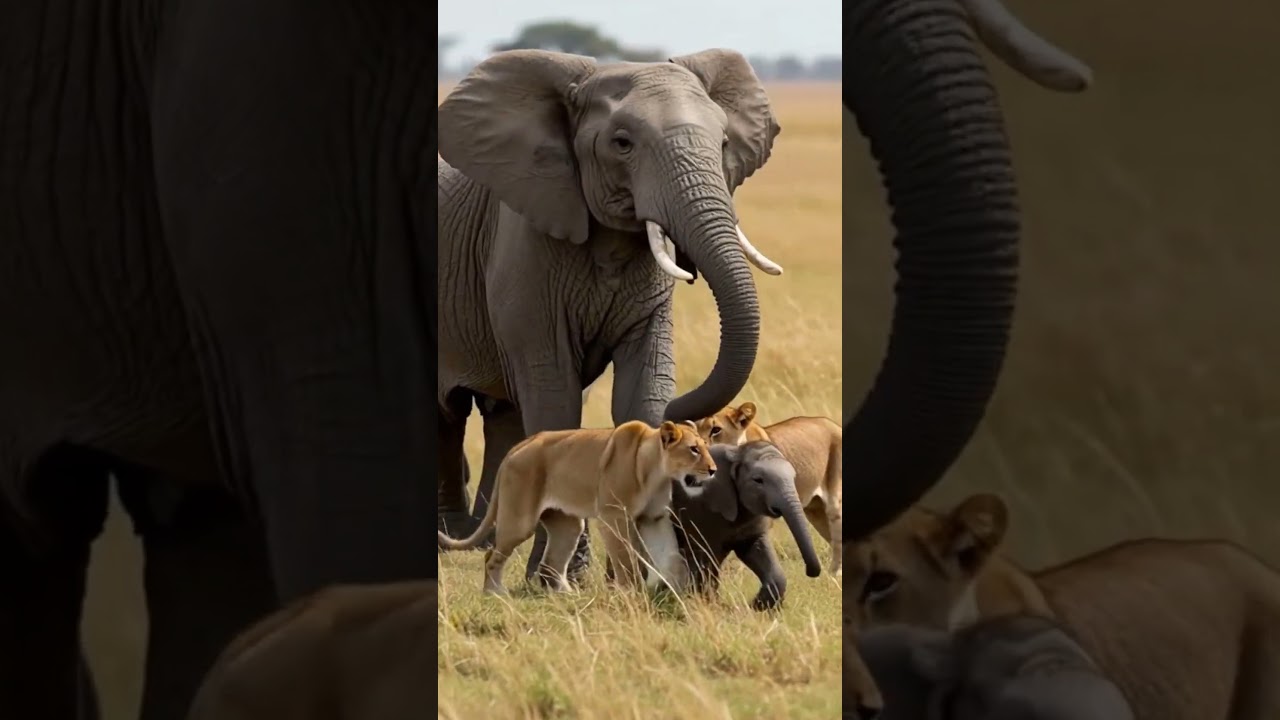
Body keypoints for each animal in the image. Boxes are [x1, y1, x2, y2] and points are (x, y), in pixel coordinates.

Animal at [437, 420, 717, 595]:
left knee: (551, 563)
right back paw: (494, 593)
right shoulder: (612, 516)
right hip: (519, 521)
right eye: (693, 449)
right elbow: (625, 558)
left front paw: (677, 590)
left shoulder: (653, 517)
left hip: (568, 523)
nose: (714, 470)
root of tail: (520, 445)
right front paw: (632, 593)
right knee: (491, 556)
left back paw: (568, 595)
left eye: (706, 446)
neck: (657, 471)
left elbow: (672, 557)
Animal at [668, 441, 822, 611]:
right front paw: (707, 606)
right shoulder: (697, 510)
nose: (810, 572)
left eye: (794, 478)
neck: (736, 454)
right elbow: (702, 559)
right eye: (758, 480)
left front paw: (756, 606)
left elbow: (755, 550)